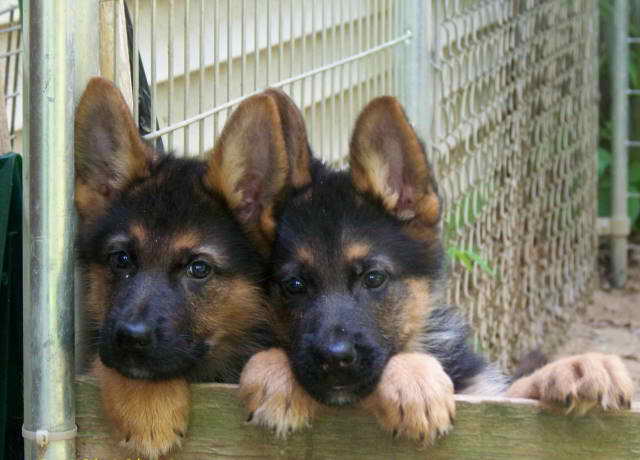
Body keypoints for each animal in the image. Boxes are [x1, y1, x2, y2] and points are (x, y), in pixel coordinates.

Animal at [241, 93, 636, 442]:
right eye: (294, 285)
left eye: (374, 278)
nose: (334, 358)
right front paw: (274, 373)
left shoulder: (489, 395)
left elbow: (517, 388)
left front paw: (577, 367)